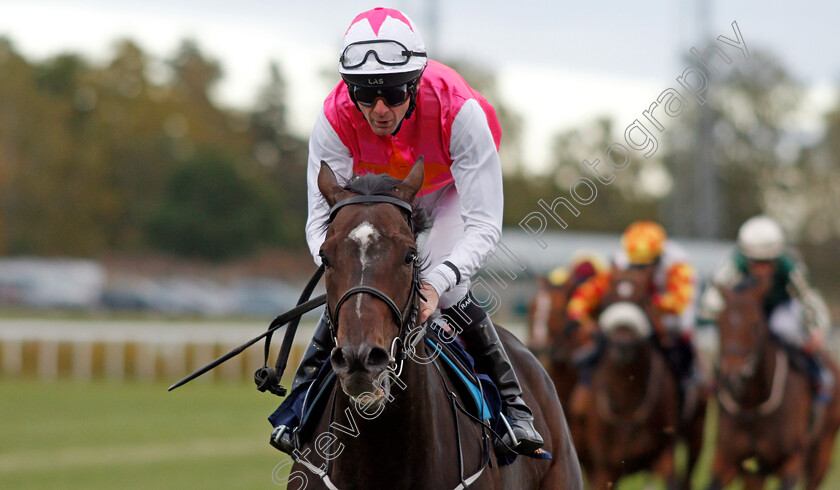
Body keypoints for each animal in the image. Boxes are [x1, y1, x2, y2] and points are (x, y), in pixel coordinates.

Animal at [576, 268, 704, 490]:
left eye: (643, 299)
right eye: (607, 300)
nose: (622, 344)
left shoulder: (664, 455)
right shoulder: (604, 469)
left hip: (697, 431)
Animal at [708, 280, 840, 490]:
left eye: (755, 325)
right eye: (719, 324)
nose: (733, 375)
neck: (753, 405)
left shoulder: (792, 461)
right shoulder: (727, 460)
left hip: (822, 452)